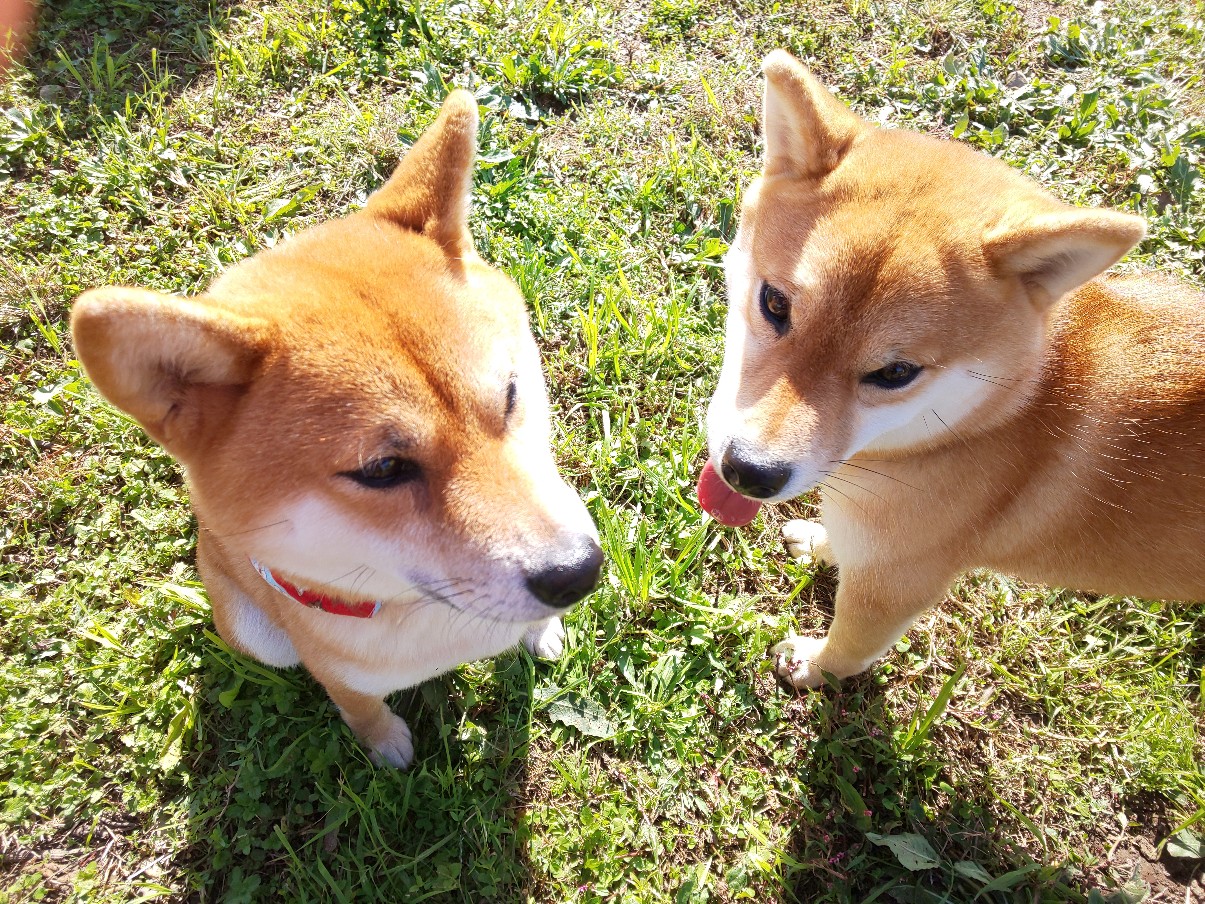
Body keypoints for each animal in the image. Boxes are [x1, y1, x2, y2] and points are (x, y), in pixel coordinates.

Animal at [68, 92, 602, 766]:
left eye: (510, 395)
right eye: (383, 469)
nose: (579, 572)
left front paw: (542, 632)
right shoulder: (335, 670)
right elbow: (359, 707)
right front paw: (385, 746)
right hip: (257, 633)